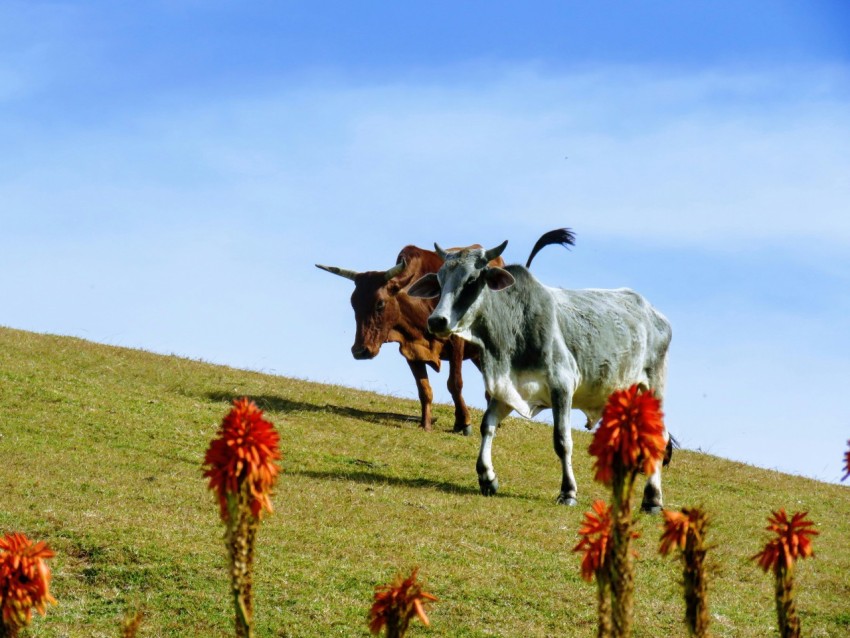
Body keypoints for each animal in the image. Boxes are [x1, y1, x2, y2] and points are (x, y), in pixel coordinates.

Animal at [316, 245, 504, 435]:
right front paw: (426, 424)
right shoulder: (411, 349)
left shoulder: (456, 343)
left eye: (380, 304)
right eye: (354, 304)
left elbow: (454, 384)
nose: (360, 351)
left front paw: (464, 422)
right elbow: (424, 388)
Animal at [407, 229, 672, 512]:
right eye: (440, 280)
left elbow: (562, 440)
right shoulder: (507, 389)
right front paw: (487, 477)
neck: (513, 328)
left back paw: (652, 499)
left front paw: (568, 492)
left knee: (659, 437)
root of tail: (654, 313)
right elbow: (487, 425)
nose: (437, 320)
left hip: (653, 386)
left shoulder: (562, 386)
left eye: (471, 280)